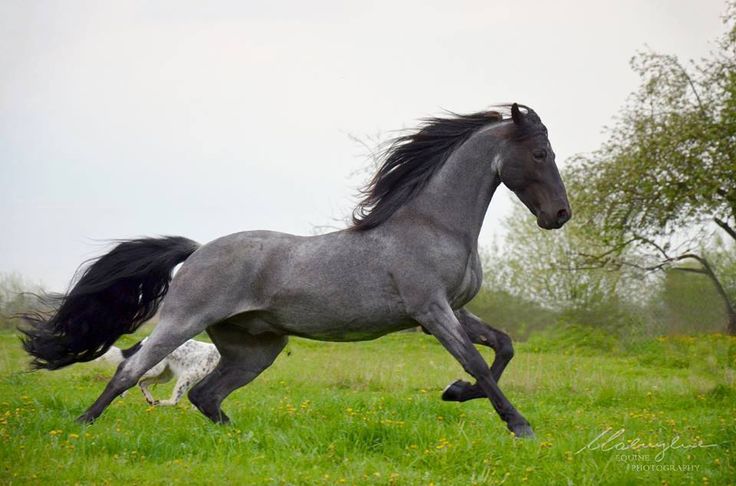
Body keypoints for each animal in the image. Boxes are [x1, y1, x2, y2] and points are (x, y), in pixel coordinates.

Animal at [21, 102, 568, 436]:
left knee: (205, 394)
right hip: (183, 322)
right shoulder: (431, 311)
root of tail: (196, 251)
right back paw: (80, 428)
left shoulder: (455, 309)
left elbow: (503, 346)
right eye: (540, 153)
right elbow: (477, 361)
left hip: (256, 348)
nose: (559, 215)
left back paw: (238, 438)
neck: (432, 224)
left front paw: (455, 394)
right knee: (131, 371)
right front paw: (519, 425)